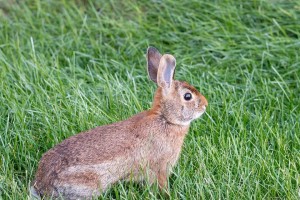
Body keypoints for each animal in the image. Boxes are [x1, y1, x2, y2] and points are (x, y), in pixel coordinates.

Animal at [30, 47, 209, 200]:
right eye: (188, 96)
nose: (205, 105)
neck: (165, 118)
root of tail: (42, 184)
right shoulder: (160, 167)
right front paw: (167, 195)